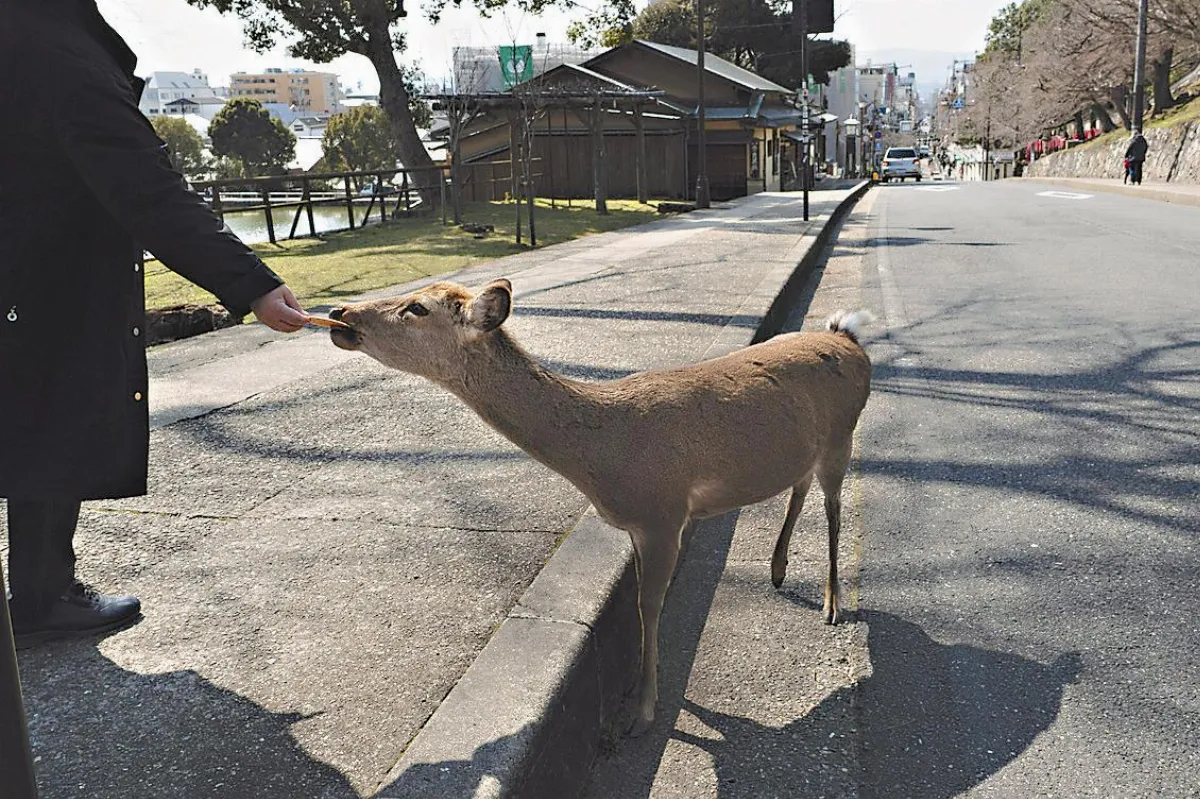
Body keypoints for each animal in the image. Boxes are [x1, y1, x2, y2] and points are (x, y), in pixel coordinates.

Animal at [325, 278, 873, 735]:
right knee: (799, 485)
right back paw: (777, 570)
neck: (604, 455)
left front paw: (644, 712)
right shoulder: (640, 524)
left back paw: (832, 603)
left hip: (843, 434)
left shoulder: (662, 513)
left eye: (417, 307)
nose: (340, 312)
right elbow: (644, 604)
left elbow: (648, 605)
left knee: (834, 508)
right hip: (804, 448)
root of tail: (851, 339)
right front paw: (646, 689)